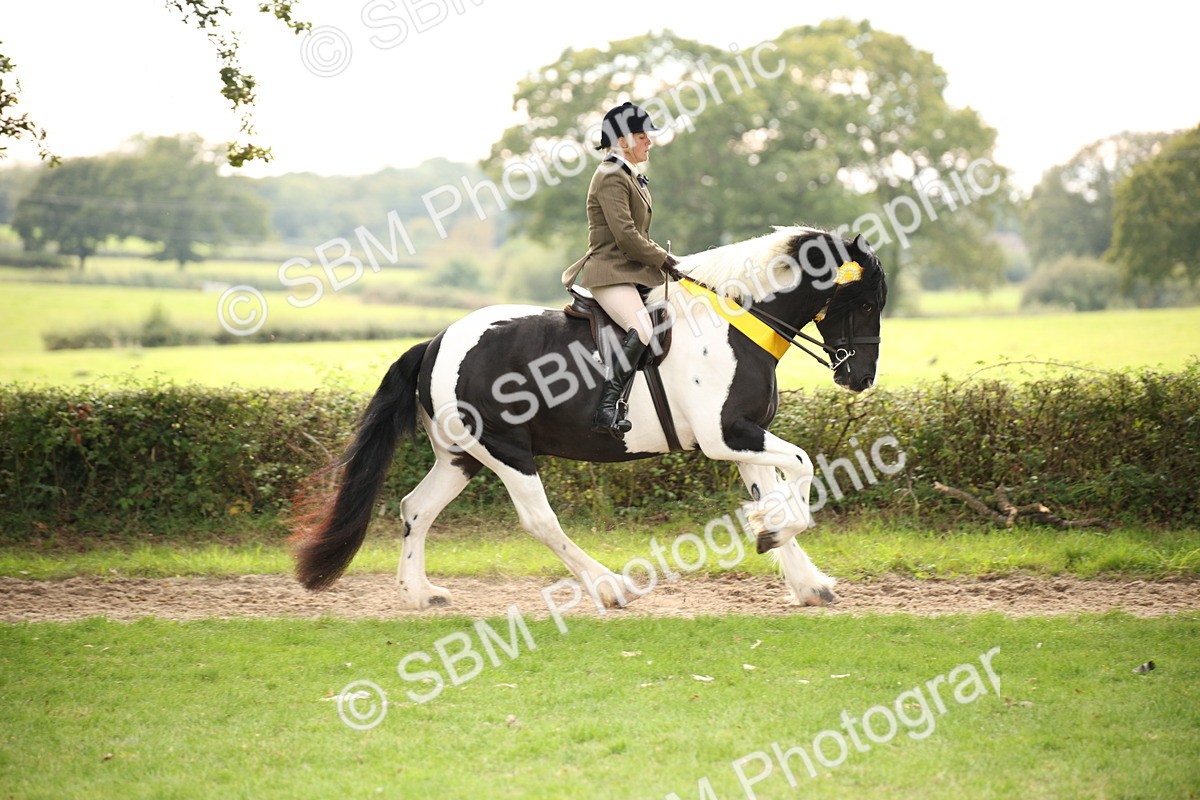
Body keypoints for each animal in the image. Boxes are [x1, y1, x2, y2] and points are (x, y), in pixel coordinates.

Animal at [291, 226, 887, 610]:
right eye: (863, 303)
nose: (859, 378)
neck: (736, 321)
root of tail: (436, 342)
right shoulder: (727, 436)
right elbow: (803, 464)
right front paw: (777, 533)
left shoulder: (743, 437)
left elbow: (774, 491)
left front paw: (802, 575)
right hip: (507, 452)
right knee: (539, 520)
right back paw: (609, 587)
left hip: (463, 456)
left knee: (416, 508)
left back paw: (419, 594)